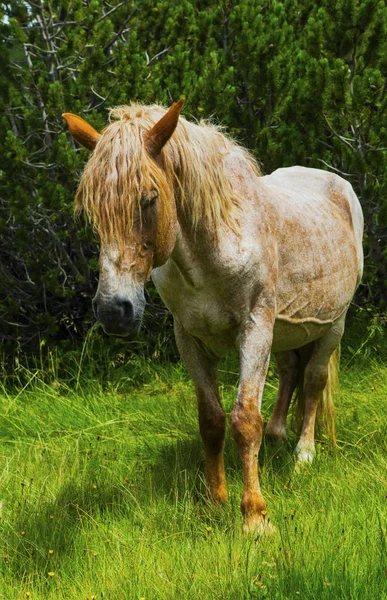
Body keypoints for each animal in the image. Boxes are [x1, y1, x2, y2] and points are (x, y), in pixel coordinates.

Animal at [63, 99, 364, 536]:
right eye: (92, 209)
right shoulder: (189, 338)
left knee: (312, 381)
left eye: (149, 199)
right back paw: (278, 433)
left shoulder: (255, 330)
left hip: (332, 327)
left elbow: (244, 420)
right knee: (291, 371)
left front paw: (255, 518)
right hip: (287, 330)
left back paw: (303, 453)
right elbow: (211, 420)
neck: (214, 250)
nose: (113, 311)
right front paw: (213, 502)